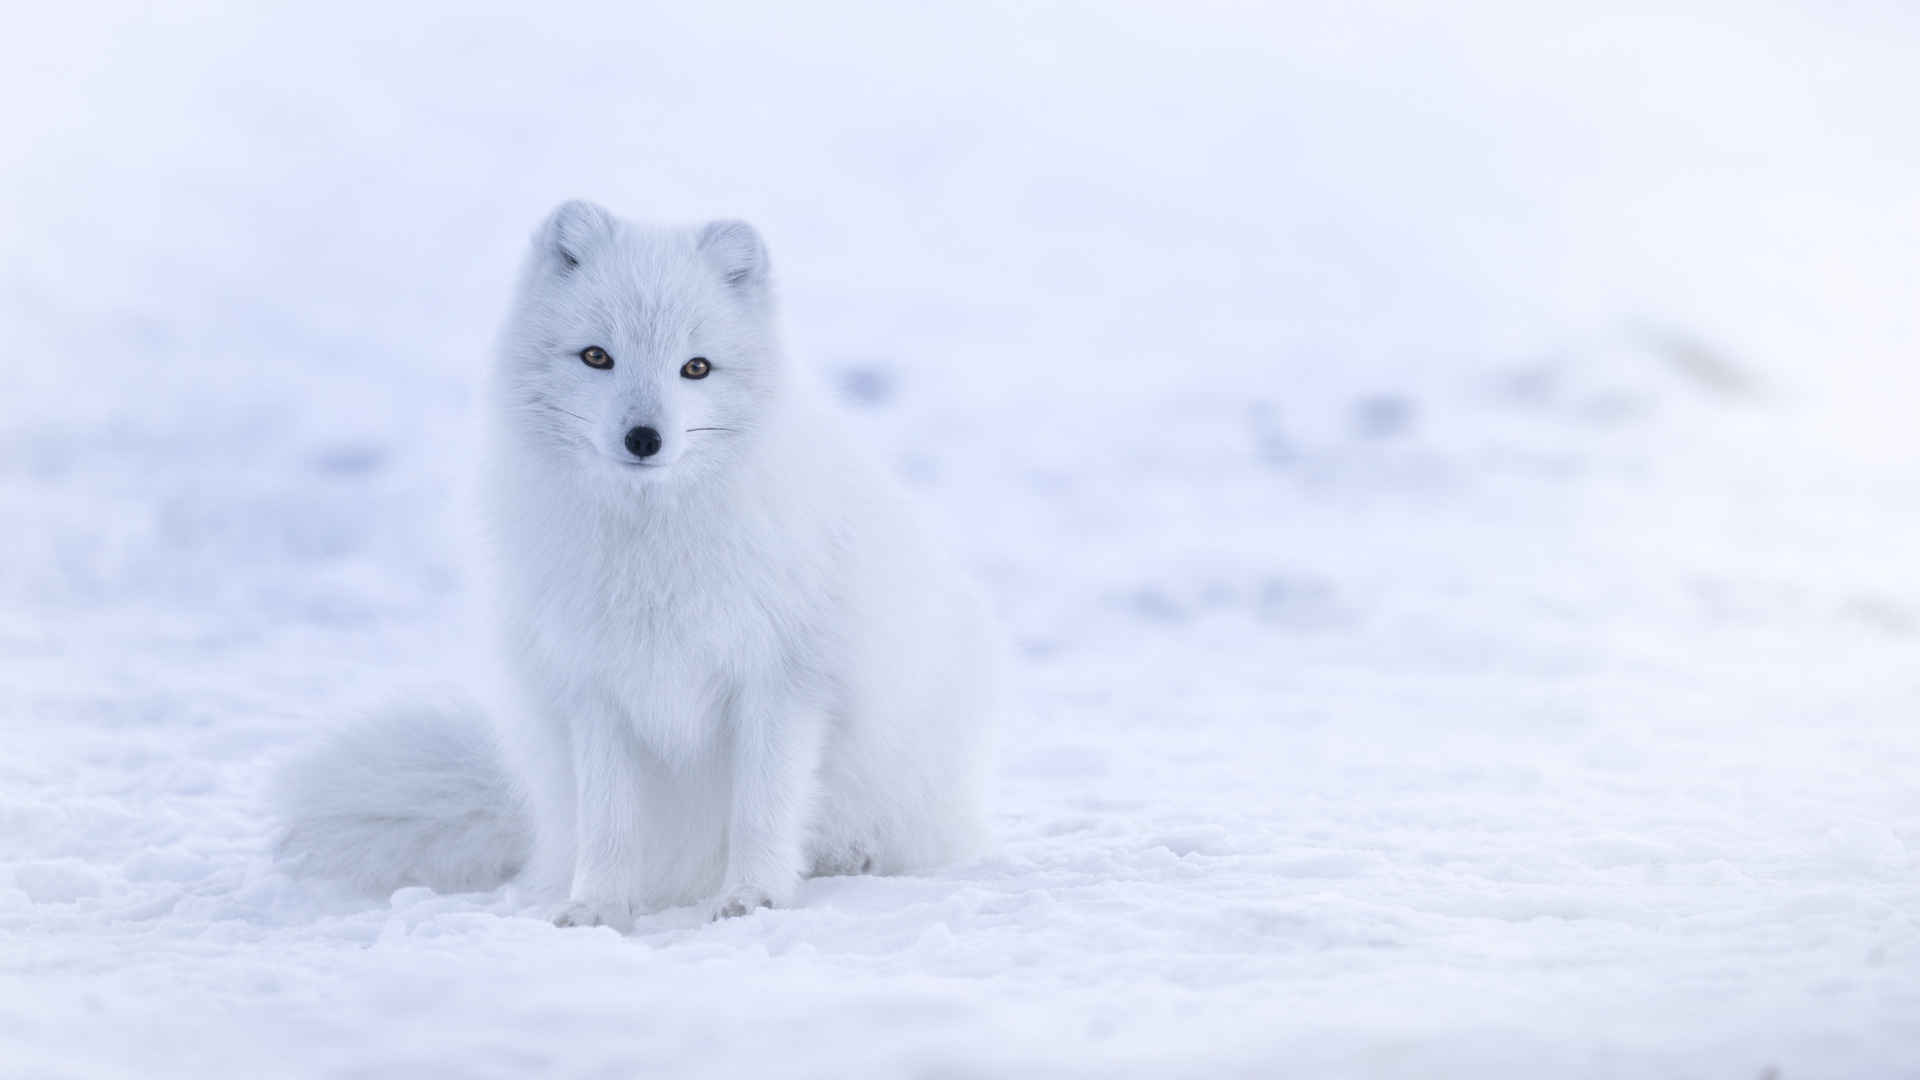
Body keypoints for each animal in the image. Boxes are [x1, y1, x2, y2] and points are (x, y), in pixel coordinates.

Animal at [284, 201, 1006, 926]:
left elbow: (762, 809)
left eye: (697, 368)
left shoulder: (781, 680)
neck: (651, 548)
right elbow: (609, 822)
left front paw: (752, 896)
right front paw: (597, 907)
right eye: (597, 356)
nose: (643, 438)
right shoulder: (595, 688)